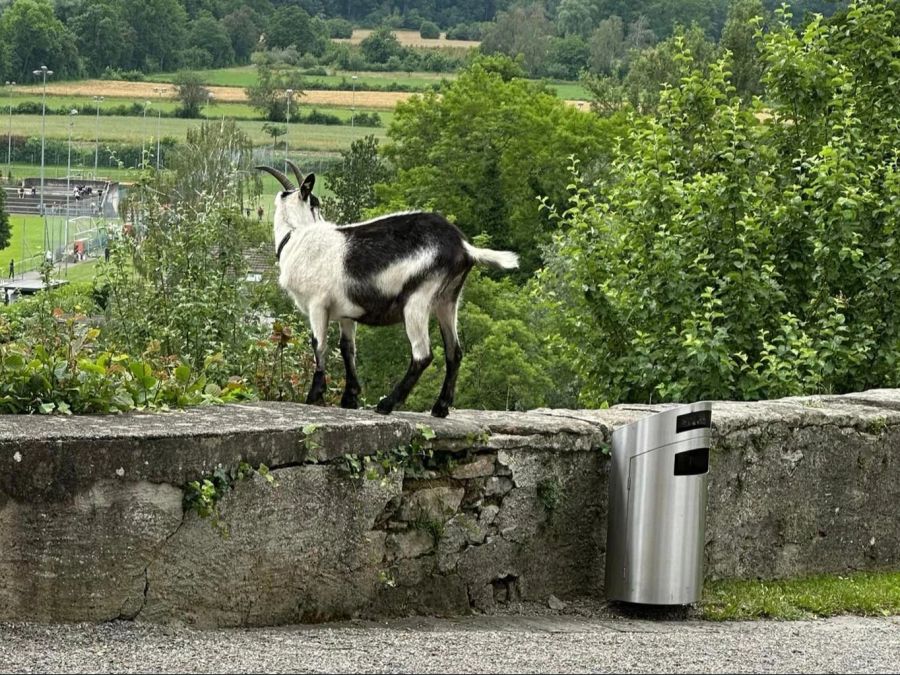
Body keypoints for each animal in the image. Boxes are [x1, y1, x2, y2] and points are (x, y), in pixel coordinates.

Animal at [255, 164, 520, 418]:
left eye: (315, 203)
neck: (295, 237)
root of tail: (463, 247)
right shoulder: (344, 313)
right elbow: (347, 349)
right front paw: (350, 399)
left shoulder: (317, 304)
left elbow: (319, 345)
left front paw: (314, 396)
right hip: (447, 301)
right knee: (454, 352)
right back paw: (440, 408)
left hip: (417, 300)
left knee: (423, 354)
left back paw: (387, 404)